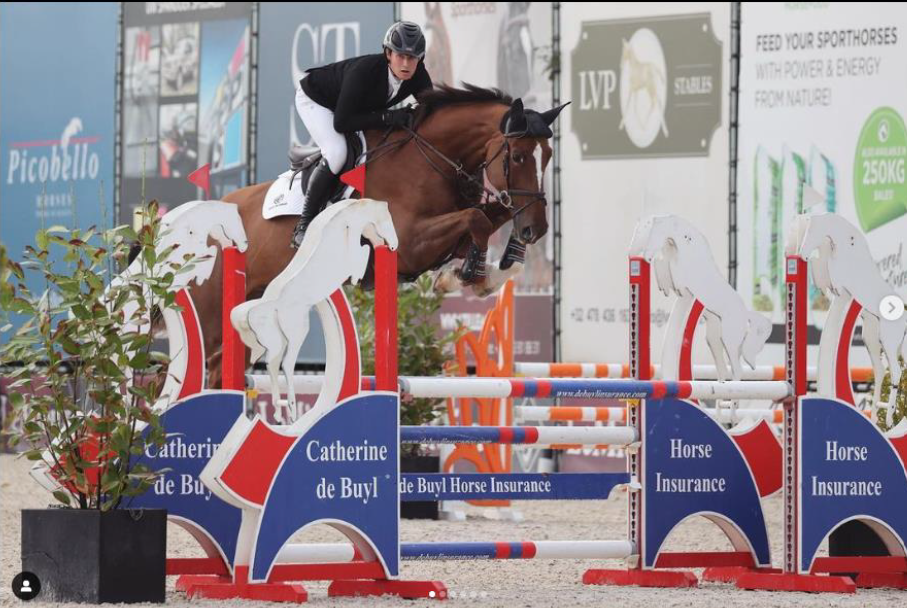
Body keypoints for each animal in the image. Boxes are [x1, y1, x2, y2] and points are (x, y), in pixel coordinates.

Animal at [190, 84, 567, 388]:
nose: (537, 229)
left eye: (548, 156)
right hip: (210, 307)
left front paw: (490, 269)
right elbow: (478, 220)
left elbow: (490, 218)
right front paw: (471, 273)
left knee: (220, 367)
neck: (428, 161)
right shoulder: (411, 244)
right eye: (517, 156)